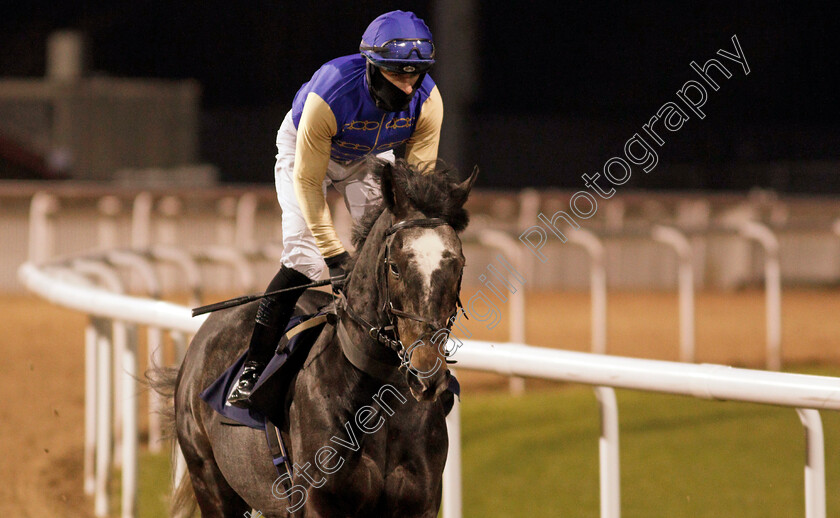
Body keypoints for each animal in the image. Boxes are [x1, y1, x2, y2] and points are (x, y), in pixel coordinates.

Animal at [157, 160, 476, 516]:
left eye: (459, 265)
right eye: (395, 266)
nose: (426, 372)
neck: (379, 401)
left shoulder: (420, 503)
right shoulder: (318, 502)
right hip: (209, 480)